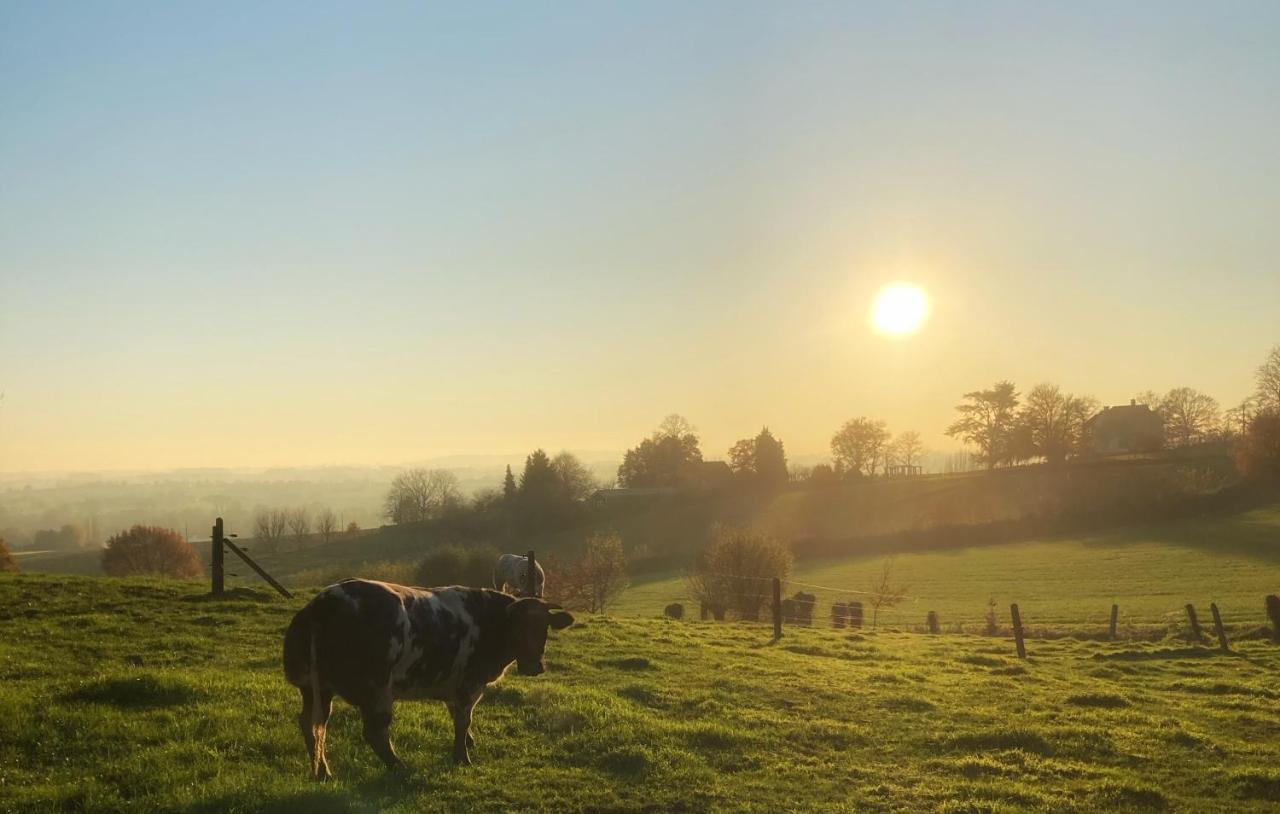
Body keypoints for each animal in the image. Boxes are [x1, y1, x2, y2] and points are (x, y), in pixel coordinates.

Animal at [288, 575, 578, 778]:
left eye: (544, 628)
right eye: (519, 627)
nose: (533, 666)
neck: (488, 622)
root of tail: (324, 602)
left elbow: (457, 716)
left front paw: (469, 742)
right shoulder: (469, 684)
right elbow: (462, 719)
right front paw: (461, 756)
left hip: (315, 688)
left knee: (312, 724)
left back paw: (323, 771)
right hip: (377, 689)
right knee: (374, 732)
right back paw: (398, 766)